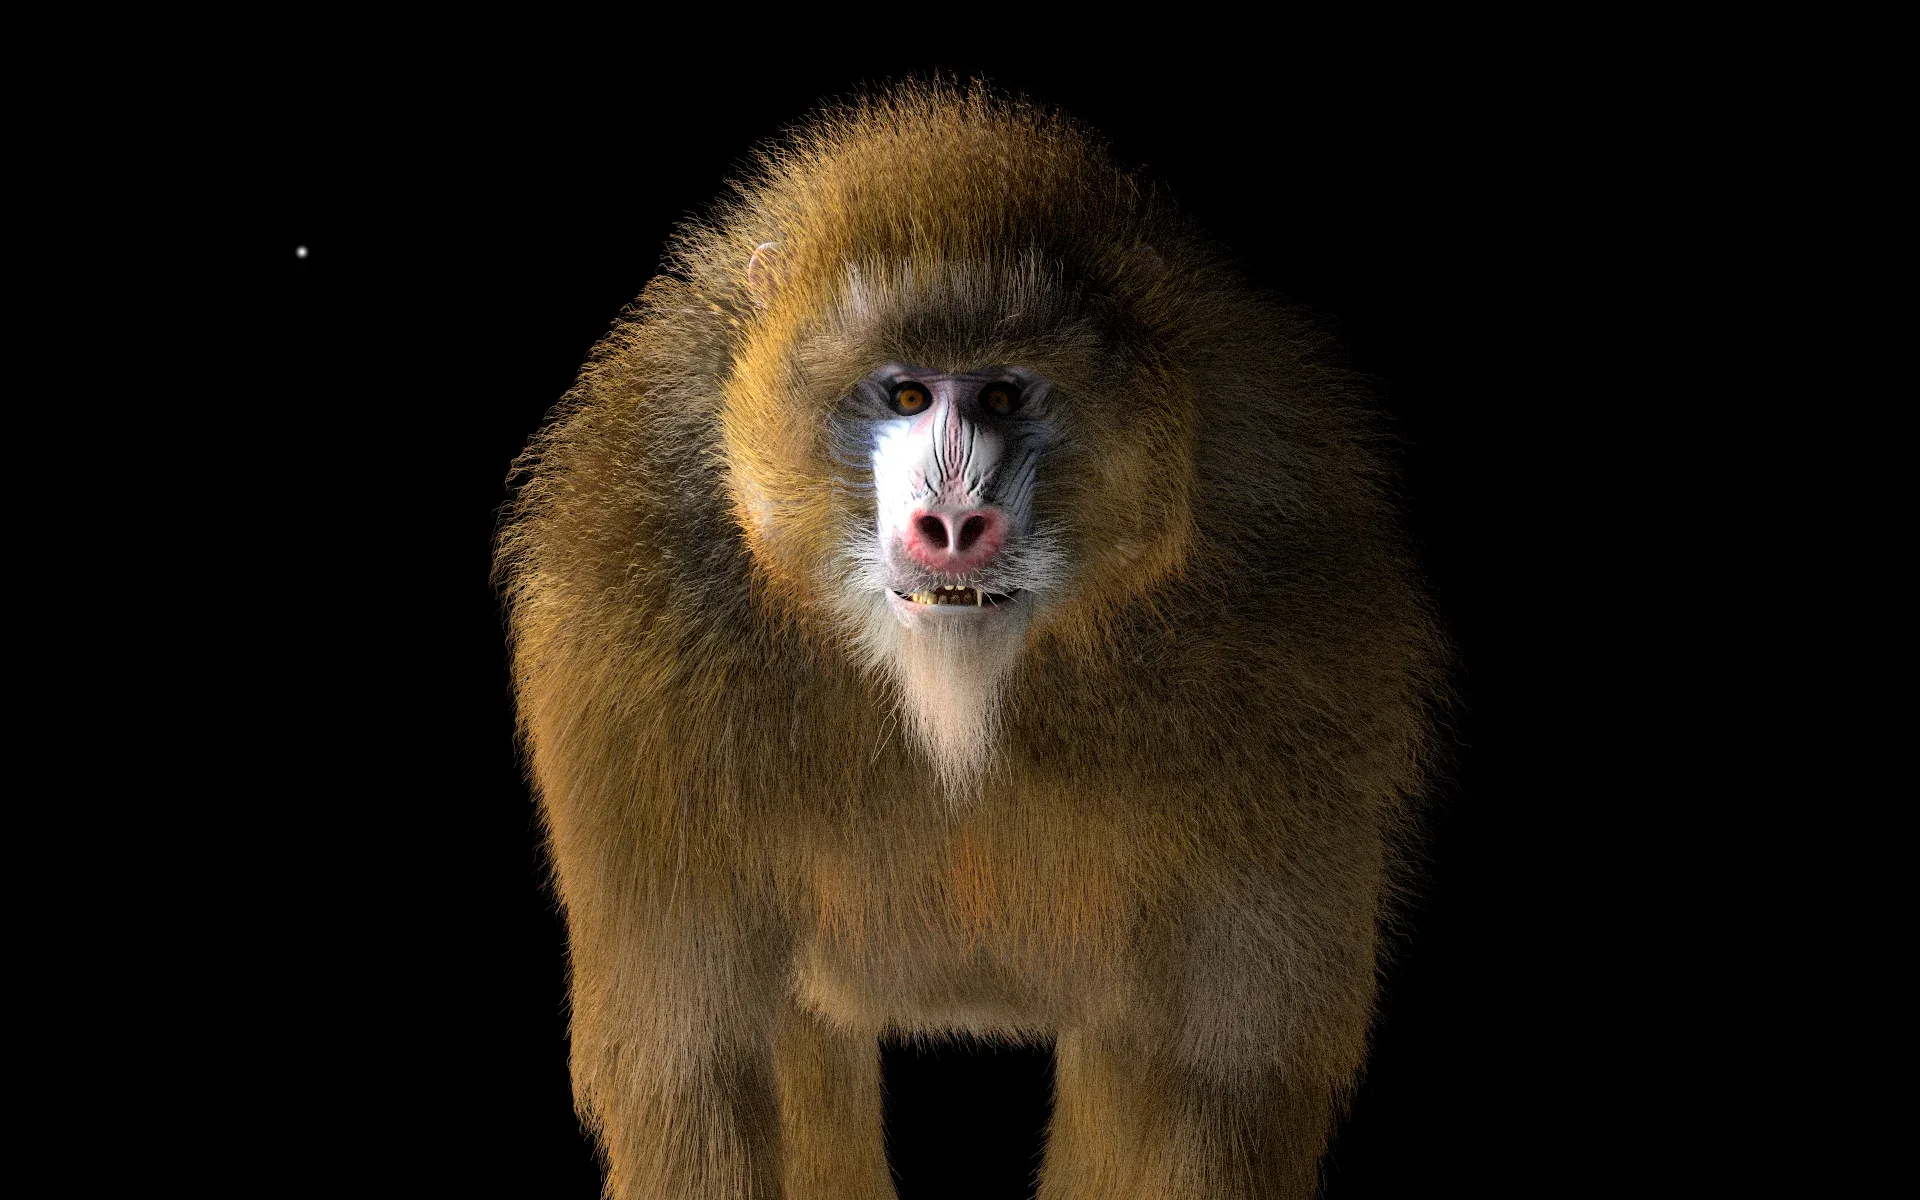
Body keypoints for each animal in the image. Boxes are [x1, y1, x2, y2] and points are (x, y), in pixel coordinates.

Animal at [496, 82, 1446, 1199]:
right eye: (906, 394)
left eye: (1001, 394)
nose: (952, 523)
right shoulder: (633, 640)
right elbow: (713, 1074)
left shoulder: (1298, 632)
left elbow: (1208, 1079)